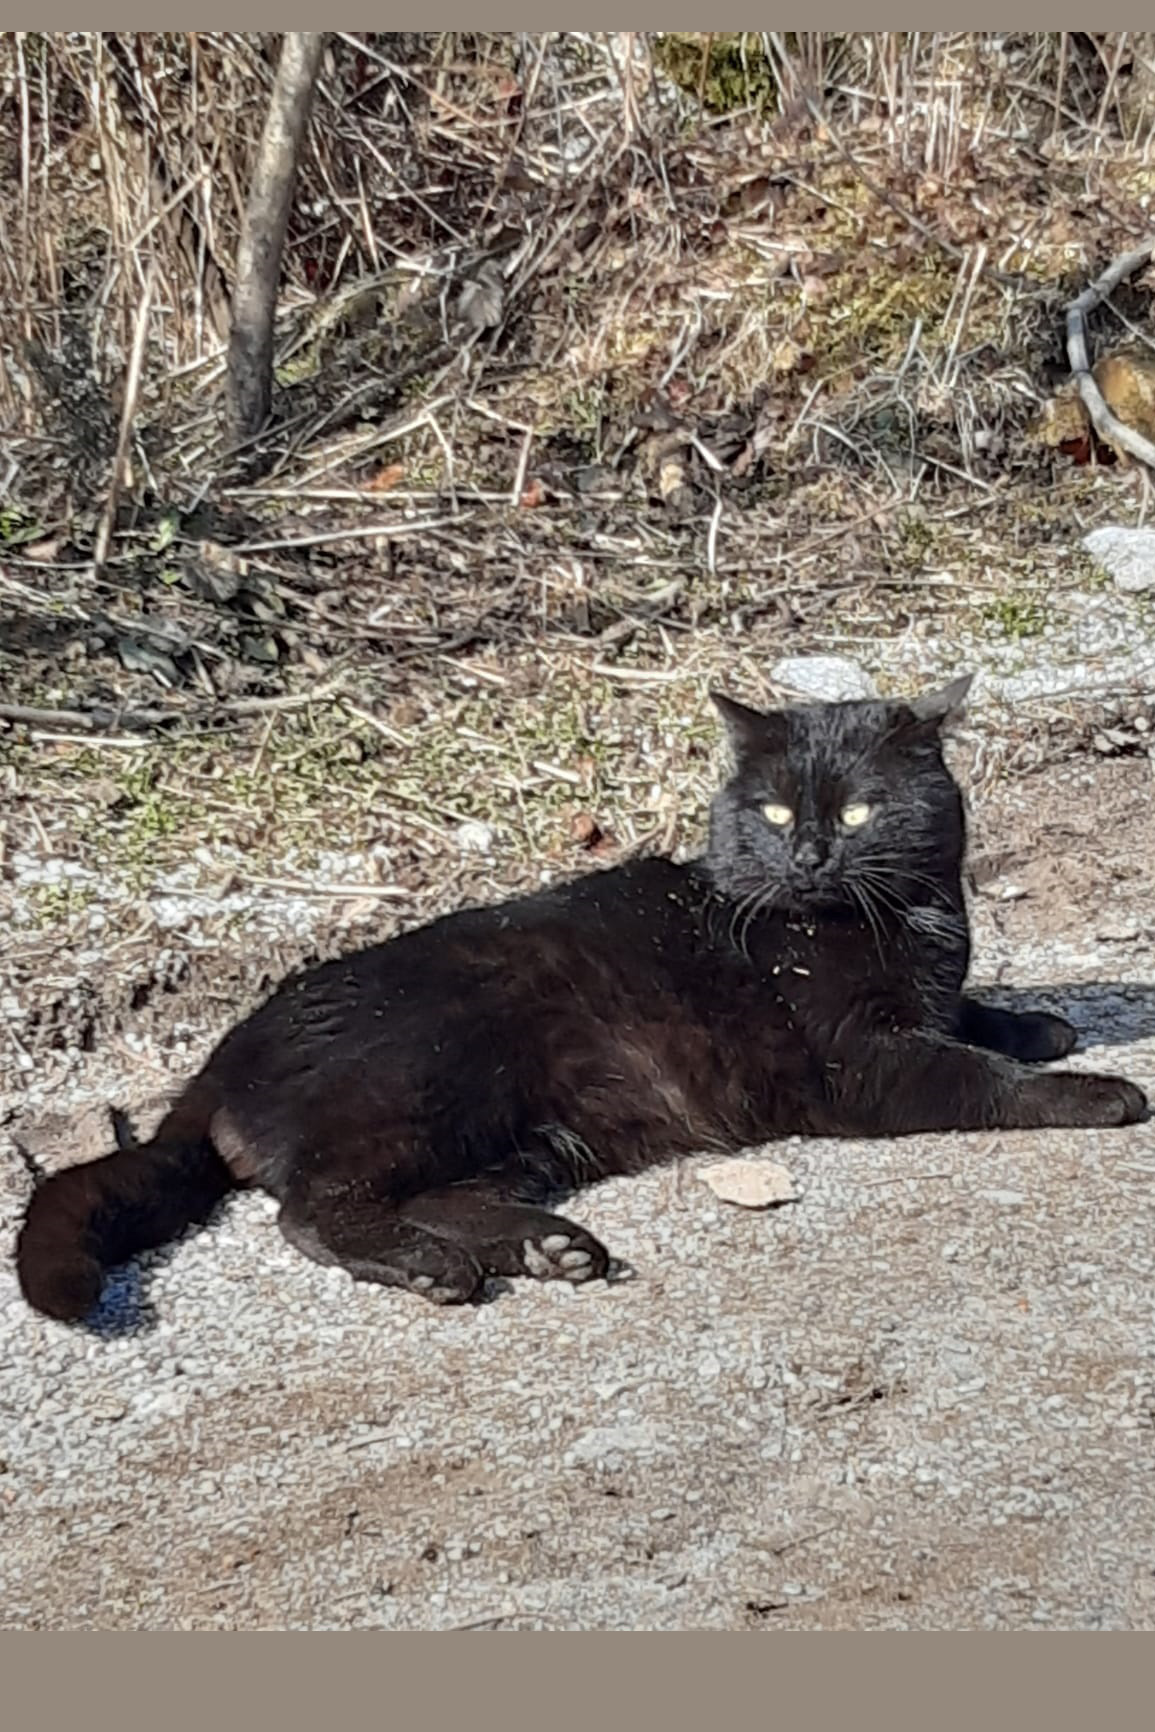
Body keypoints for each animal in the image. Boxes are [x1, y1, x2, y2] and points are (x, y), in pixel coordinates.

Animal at [15, 673, 1147, 1324]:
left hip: (526, 1130)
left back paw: (548, 1247)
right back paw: (437, 1270)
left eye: (861, 811)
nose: (809, 855)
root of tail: (221, 1056)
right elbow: (978, 1072)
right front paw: (1098, 1089)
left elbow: (974, 1015)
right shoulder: (862, 1063)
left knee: (419, 1192)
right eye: (778, 812)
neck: (905, 917)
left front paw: (1042, 1021)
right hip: (433, 1073)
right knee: (314, 1209)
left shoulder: (923, 997)